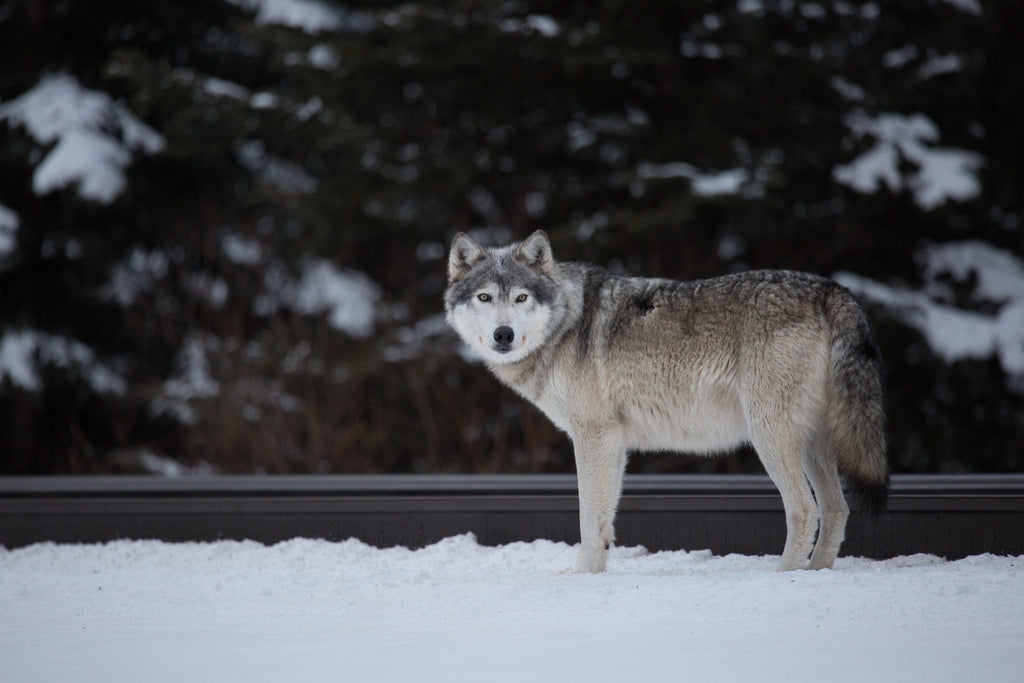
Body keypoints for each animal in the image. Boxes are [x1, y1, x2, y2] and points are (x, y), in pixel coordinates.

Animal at [445, 230, 888, 572]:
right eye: (485, 298)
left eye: (521, 298)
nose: (503, 334)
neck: (567, 323)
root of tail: (831, 289)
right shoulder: (613, 444)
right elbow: (604, 521)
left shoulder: (592, 436)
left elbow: (588, 518)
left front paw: (580, 578)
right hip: (812, 444)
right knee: (837, 509)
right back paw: (818, 573)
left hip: (771, 439)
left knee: (805, 510)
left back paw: (784, 576)